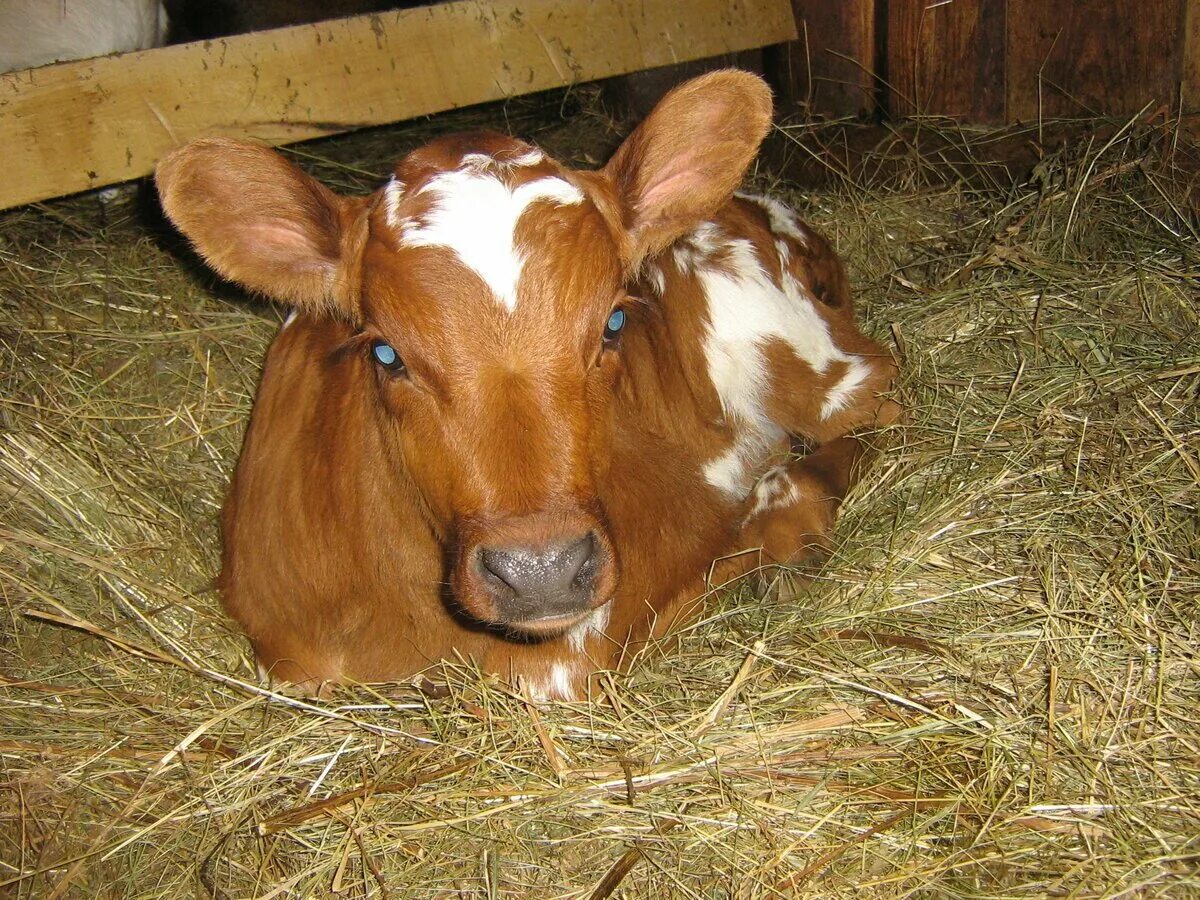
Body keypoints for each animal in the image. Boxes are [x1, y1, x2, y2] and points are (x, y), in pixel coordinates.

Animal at [154, 72, 897, 705]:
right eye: (387, 352)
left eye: (614, 322)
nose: (543, 569)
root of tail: (761, 205)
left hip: (798, 348)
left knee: (878, 398)